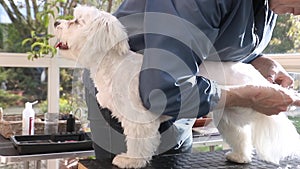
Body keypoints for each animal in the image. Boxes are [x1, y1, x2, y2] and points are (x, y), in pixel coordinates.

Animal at [55, 5, 300, 168]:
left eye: (76, 22)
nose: (57, 23)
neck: (114, 63)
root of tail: (252, 73)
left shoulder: (139, 120)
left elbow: (137, 143)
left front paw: (130, 160)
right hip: (229, 116)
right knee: (240, 137)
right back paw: (239, 156)